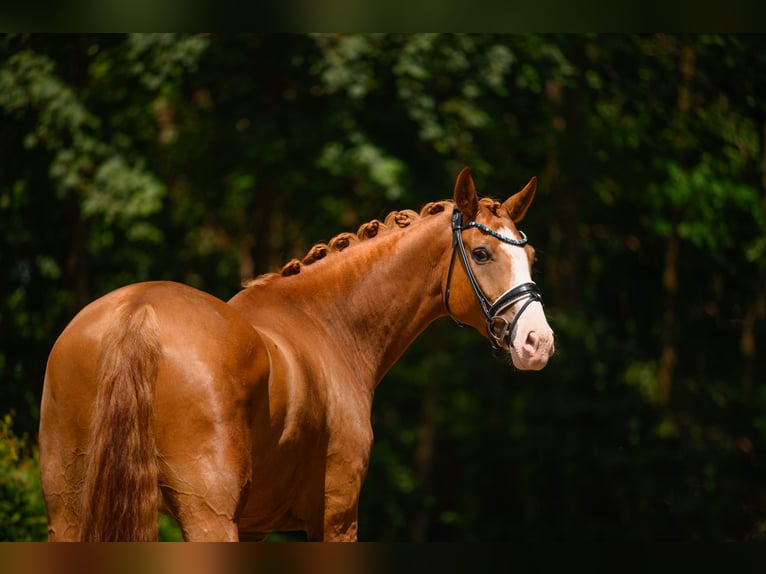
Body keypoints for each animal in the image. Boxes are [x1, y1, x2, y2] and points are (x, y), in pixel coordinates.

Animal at [39, 168, 556, 544]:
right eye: (482, 253)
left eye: (530, 254)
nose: (539, 342)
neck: (327, 323)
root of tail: (138, 310)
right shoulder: (337, 518)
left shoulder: (253, 527)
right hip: (207, 517)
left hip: (68, 513)